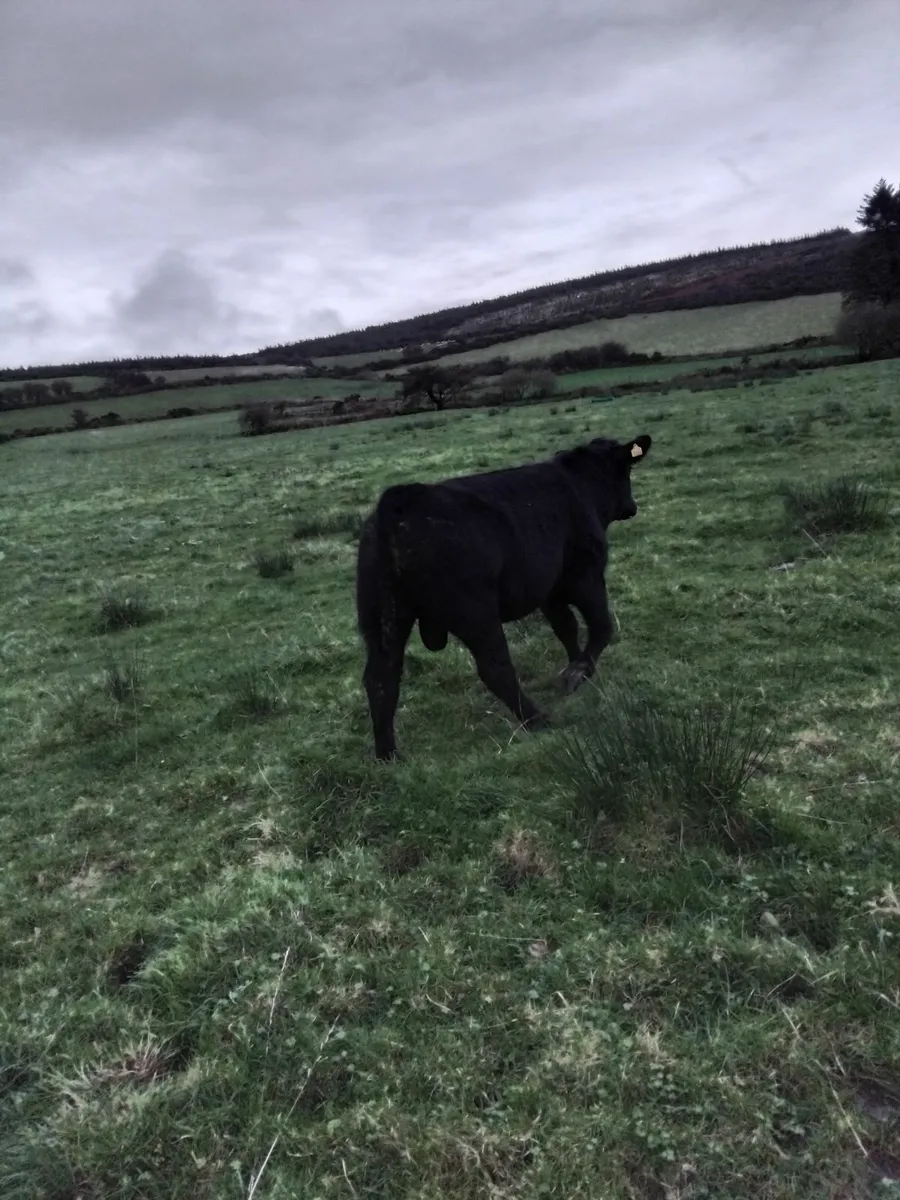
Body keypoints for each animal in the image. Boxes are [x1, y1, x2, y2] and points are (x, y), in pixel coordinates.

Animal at [355, 432, 652, 760]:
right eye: (625, 471)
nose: (631, 507)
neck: (580, 484)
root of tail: (400, 501)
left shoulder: (548, 592)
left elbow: (566, 628)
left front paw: (576, 666)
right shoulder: (584, 575)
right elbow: (601, 627)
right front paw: (579, 673)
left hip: (384, 616)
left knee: (381, 678)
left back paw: (388, 754)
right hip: (475, 614)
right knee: (495, 668)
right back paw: (536, 719)